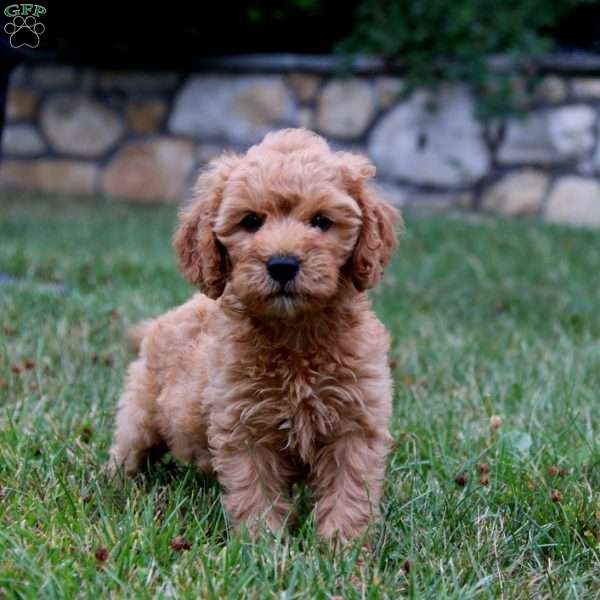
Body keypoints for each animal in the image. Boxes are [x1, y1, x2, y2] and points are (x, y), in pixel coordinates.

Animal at [110, 129, 400, 540]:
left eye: (321, 221)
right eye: (250, 221)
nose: (282, 264)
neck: (294, 335)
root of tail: (161, 321)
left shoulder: (354, 424)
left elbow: (350, 492)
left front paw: (343, 549)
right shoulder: (244, 426)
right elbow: (255, 490)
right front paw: (263, 545)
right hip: (141, 410)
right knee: (128, 447)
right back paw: (118, 485)